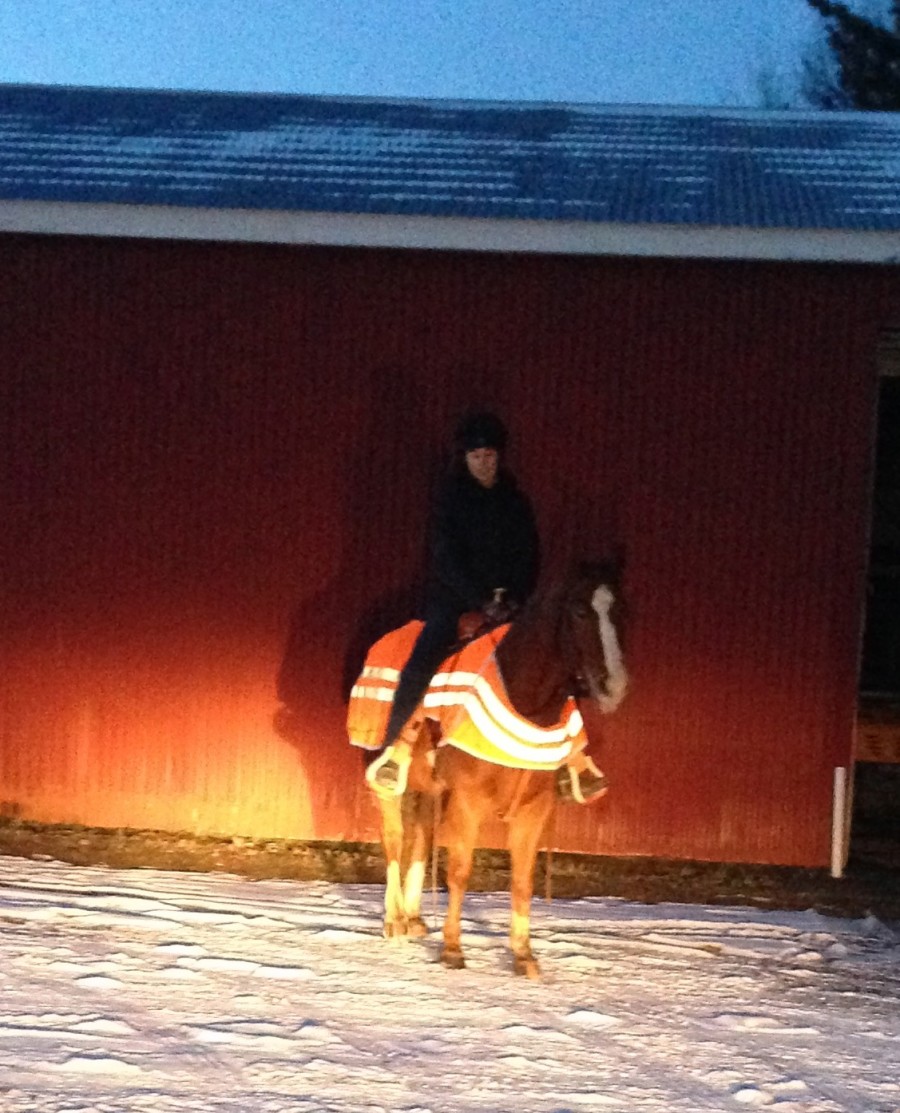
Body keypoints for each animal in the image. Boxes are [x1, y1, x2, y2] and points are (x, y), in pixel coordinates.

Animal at [347, 559, 628, 978]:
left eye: (621, 610)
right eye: (579, 611)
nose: (615, 687)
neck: (524, 700)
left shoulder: (533, 811)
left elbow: (522, 881)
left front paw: (524, 955)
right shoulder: (468, 802)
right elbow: (460, 871)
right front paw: (452, 949)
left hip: (429, 790)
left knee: (421, 838)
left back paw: (413, 918)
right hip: (386, 786)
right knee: (394, 840)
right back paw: (394, 920)